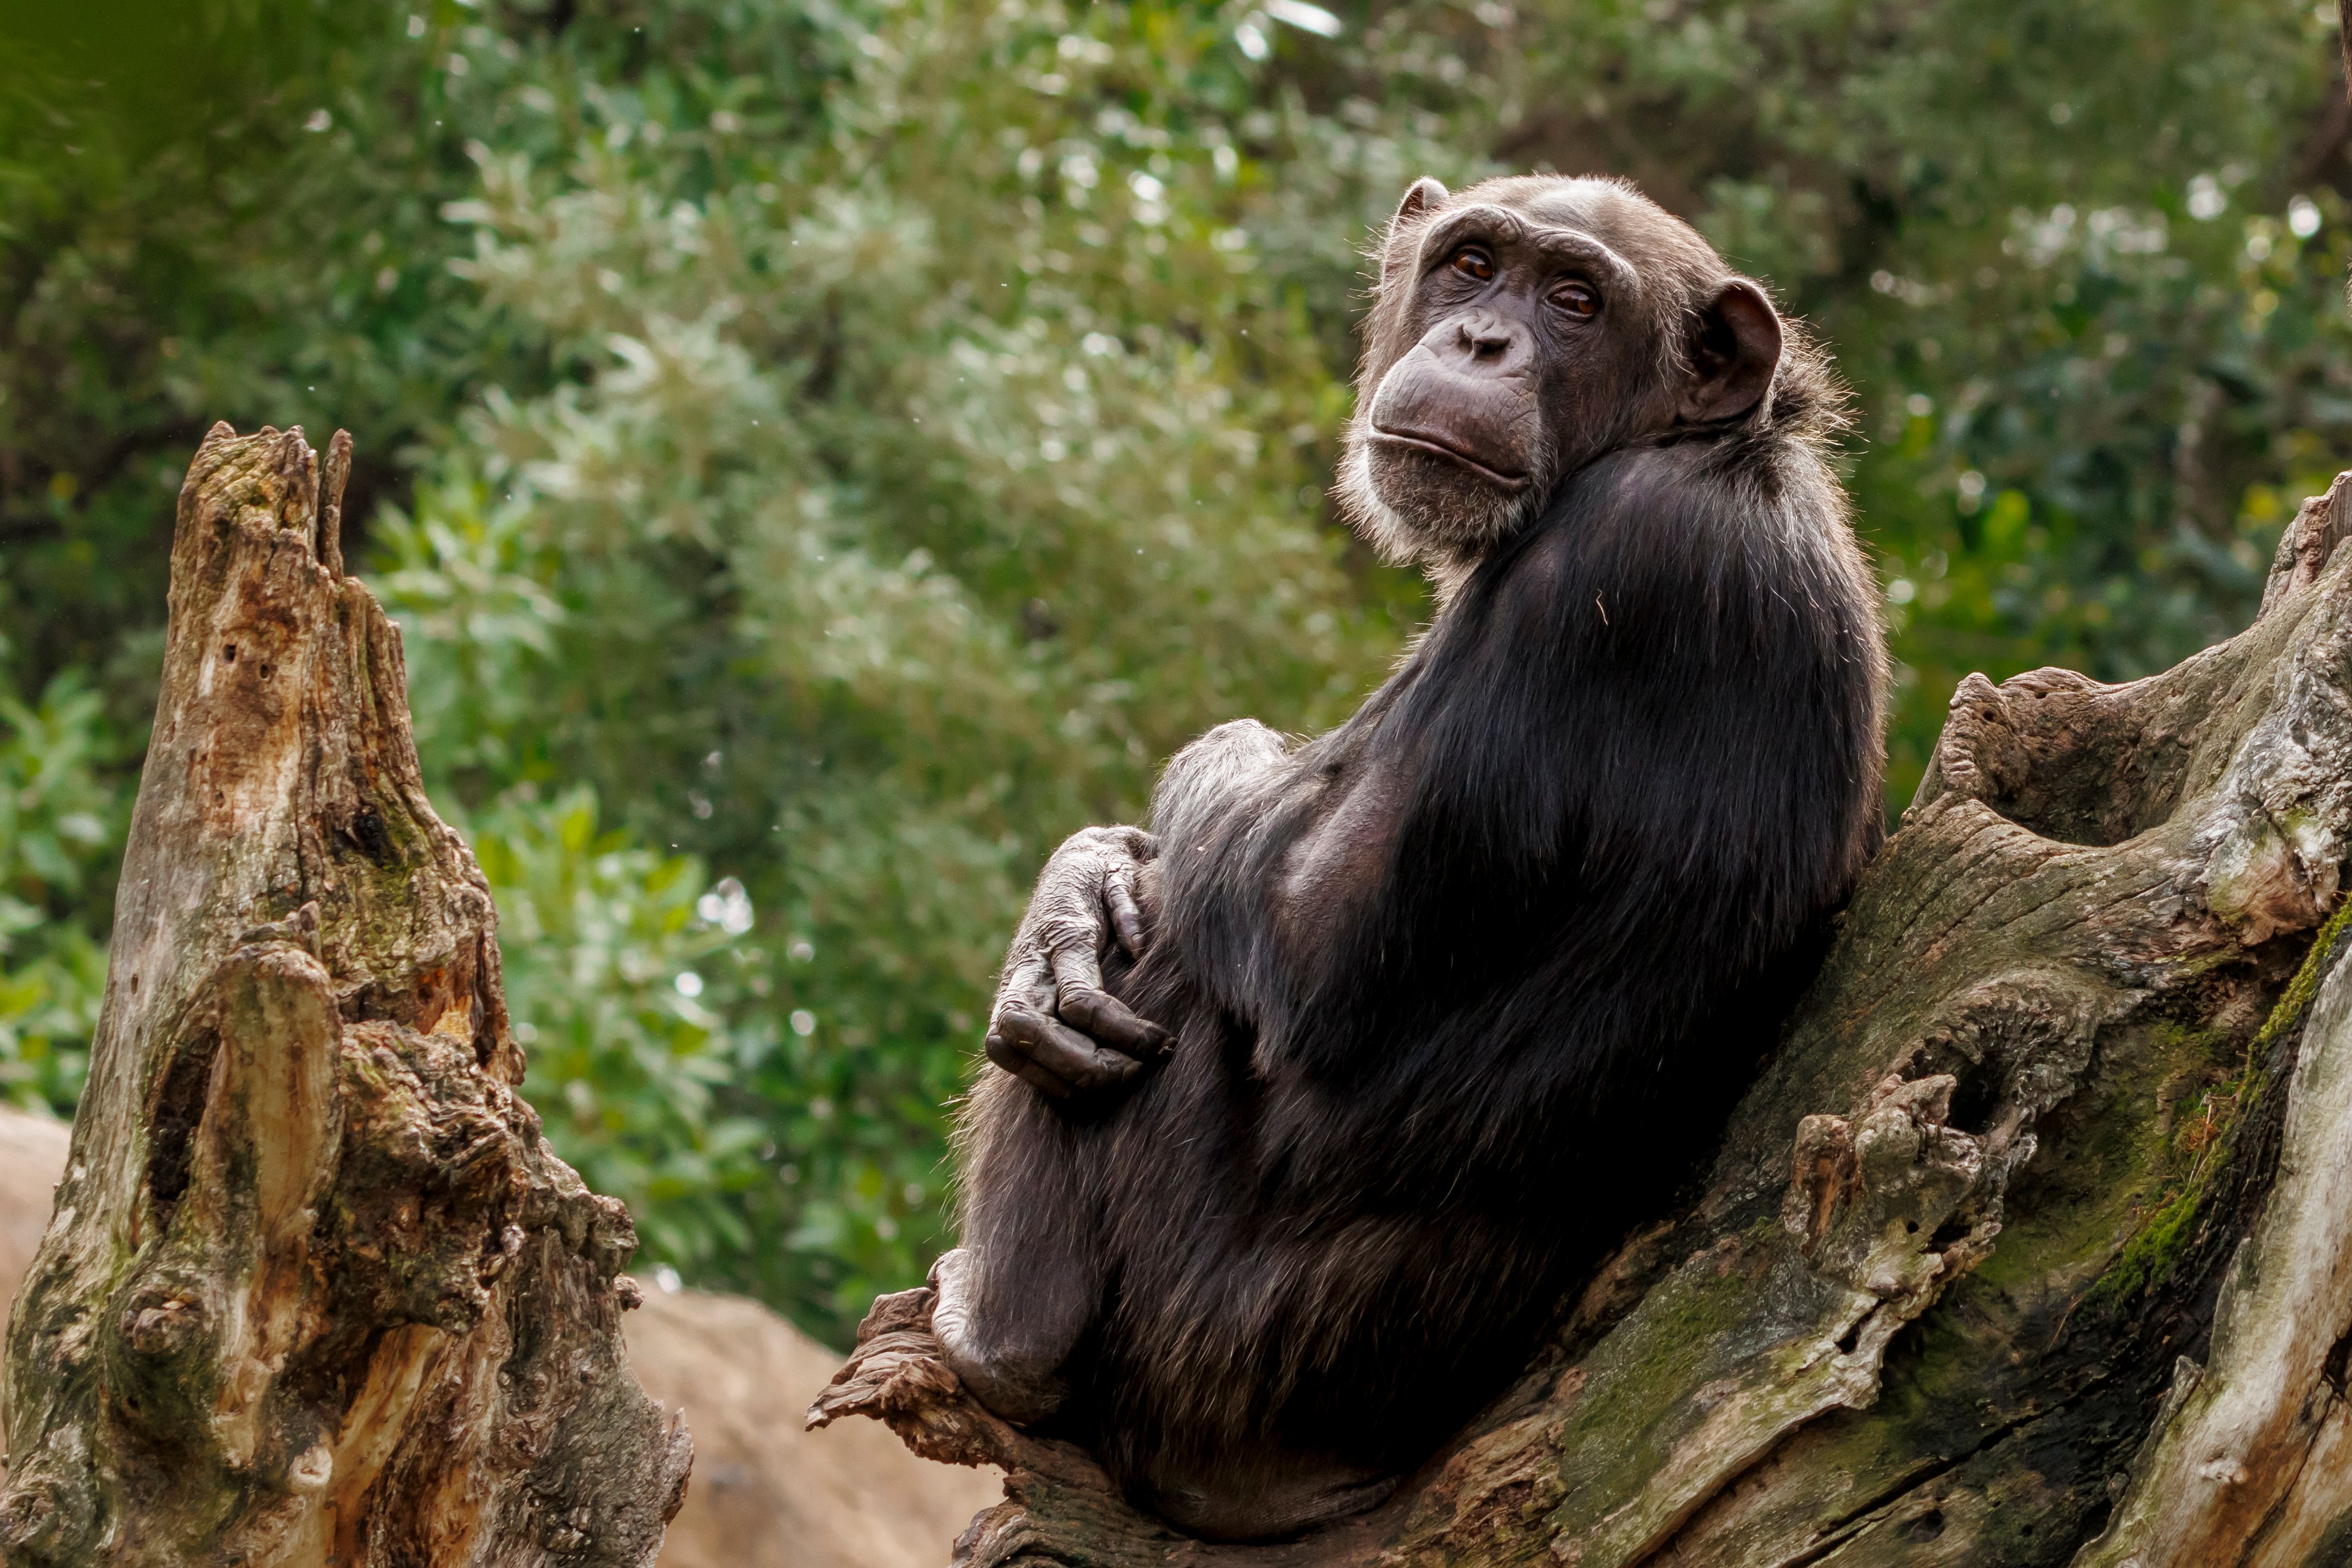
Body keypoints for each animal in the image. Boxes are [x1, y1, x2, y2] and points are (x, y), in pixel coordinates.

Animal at [930, 174, 1888, 1543]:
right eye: (1472, 264)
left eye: (1573, 300)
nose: (1481, 341)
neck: (1683, 452)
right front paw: (1074, 889)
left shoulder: (1601, 570)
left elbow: (1305, 943)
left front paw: (1108, 871)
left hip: (1206, 1358)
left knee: (1182, 960)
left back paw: (994, 1327)